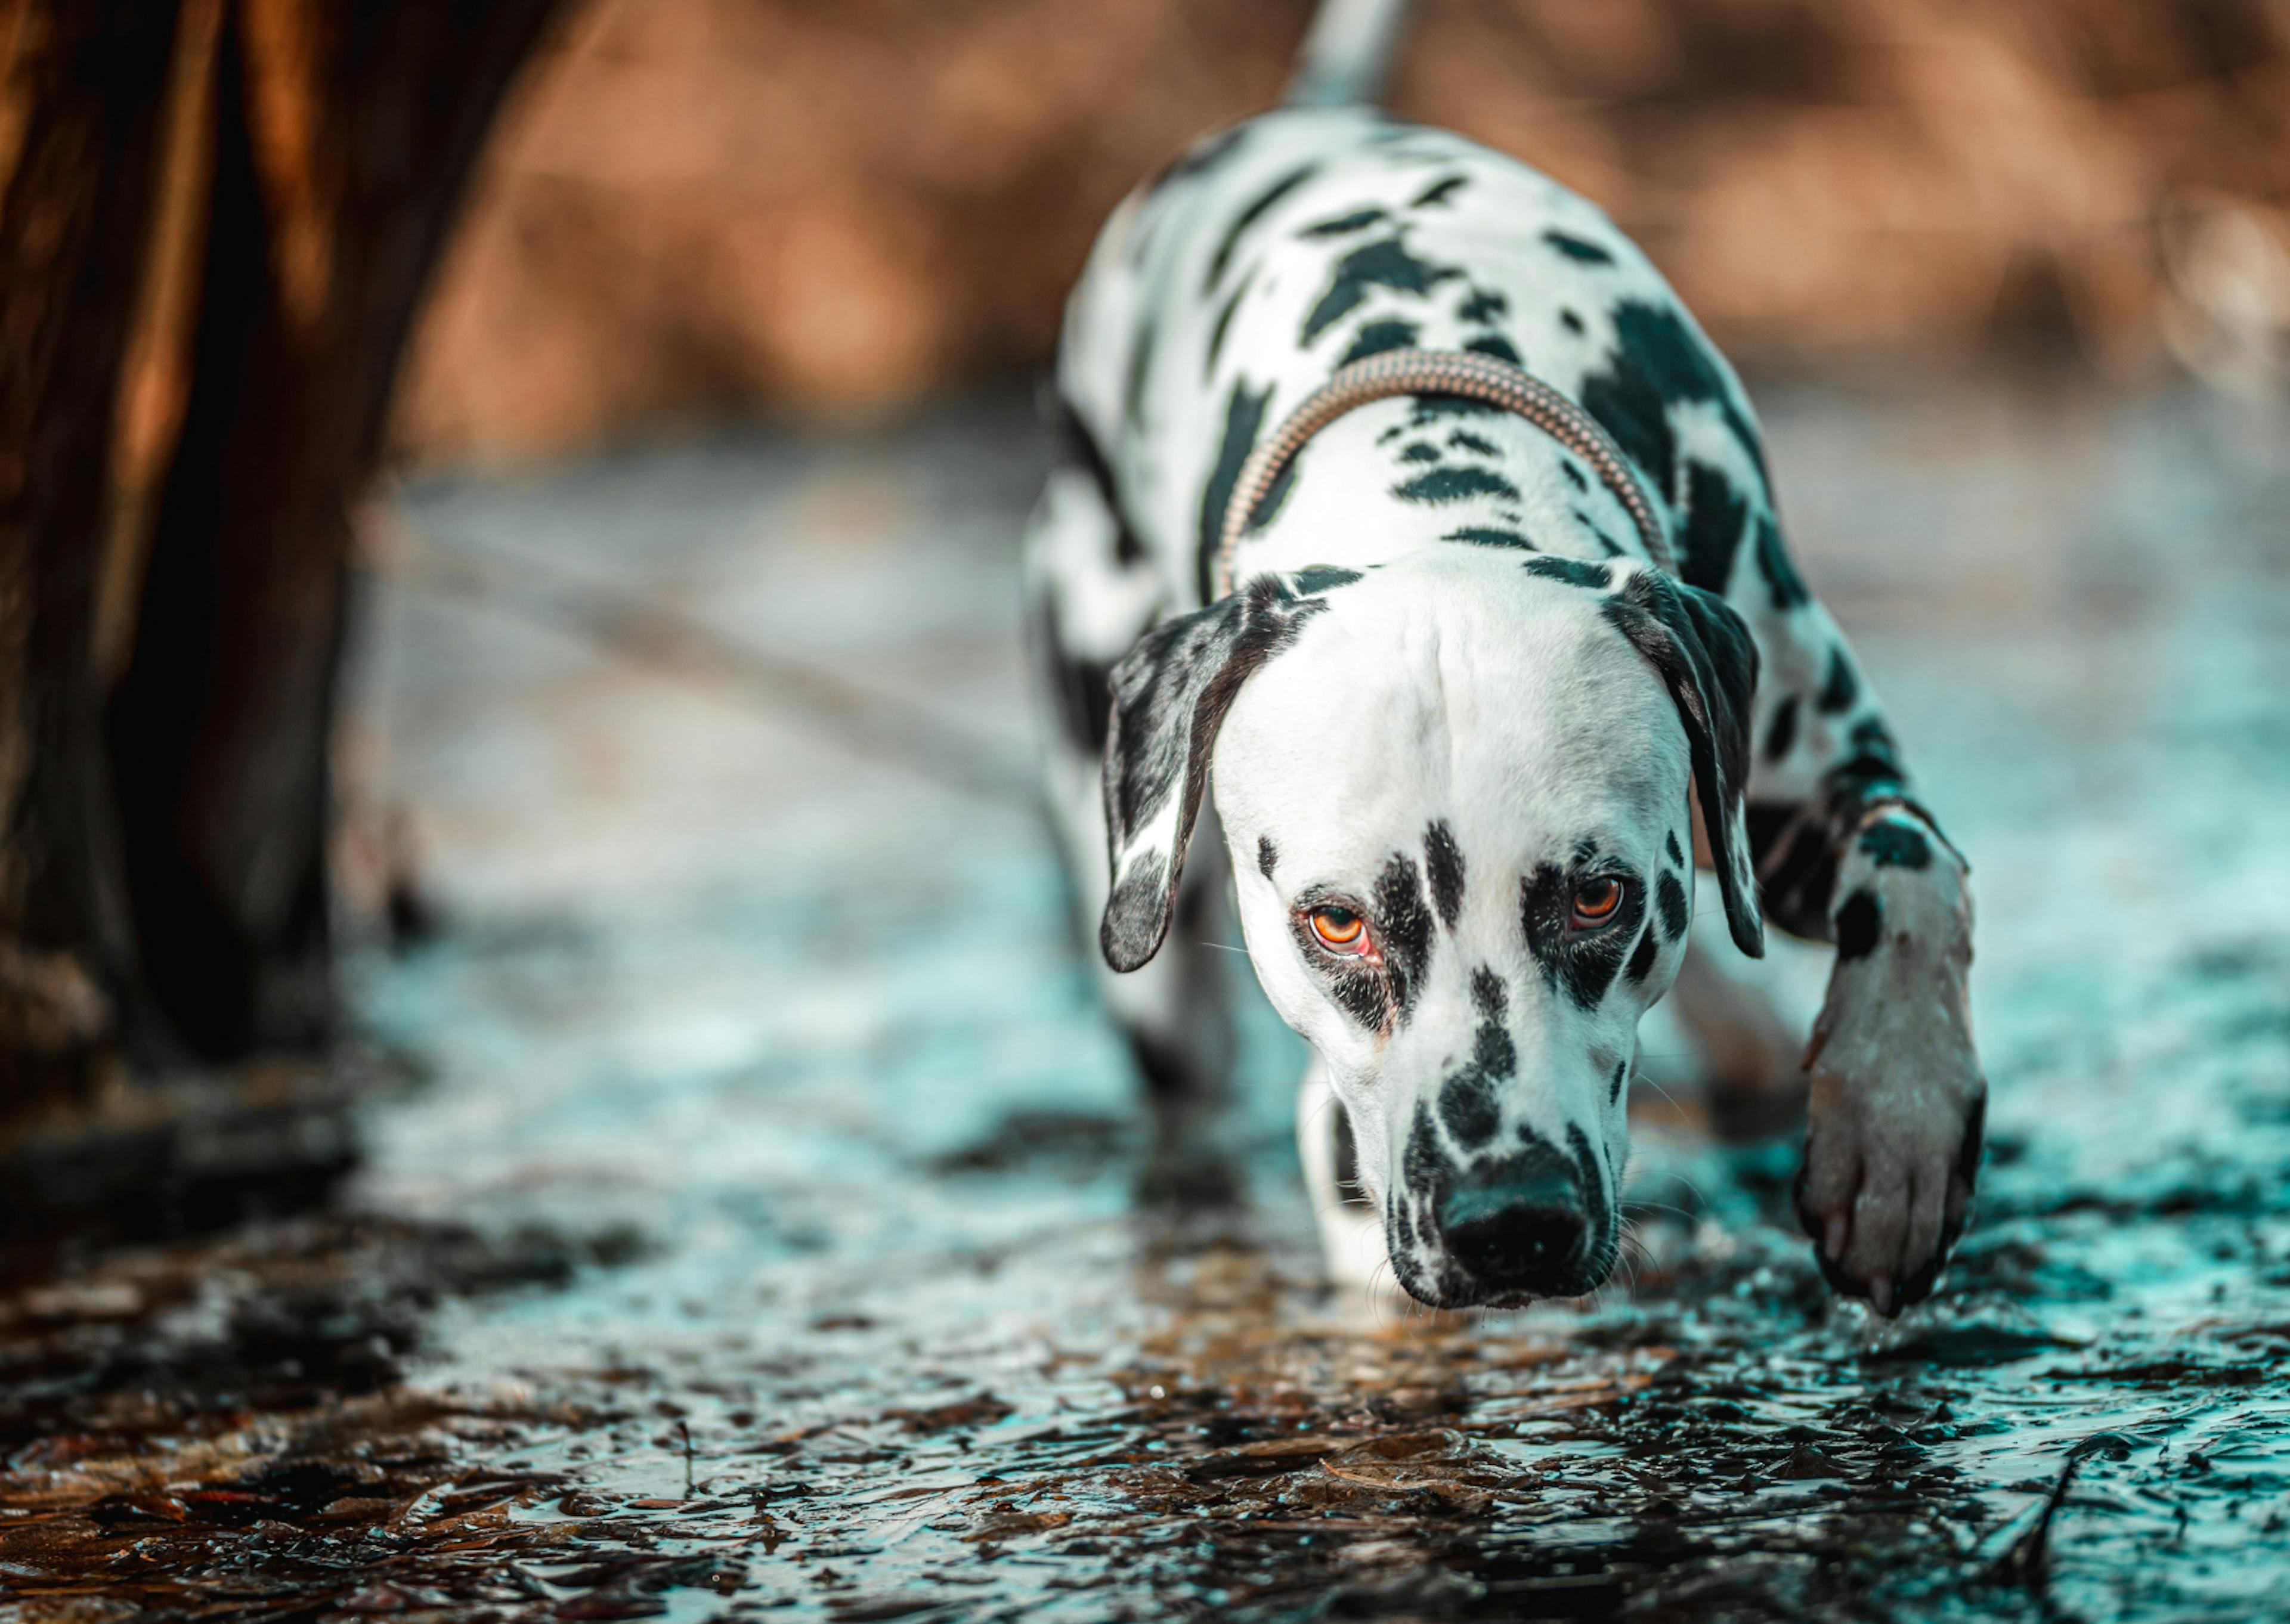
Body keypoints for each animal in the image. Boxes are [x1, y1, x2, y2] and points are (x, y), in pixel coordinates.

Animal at [1026, 0, 1988, 1310]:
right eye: (1336, 922)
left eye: (1599, 894)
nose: (1510, 1219)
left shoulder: (1800, 790)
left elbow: (1908, 868)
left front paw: (1896, 1140)